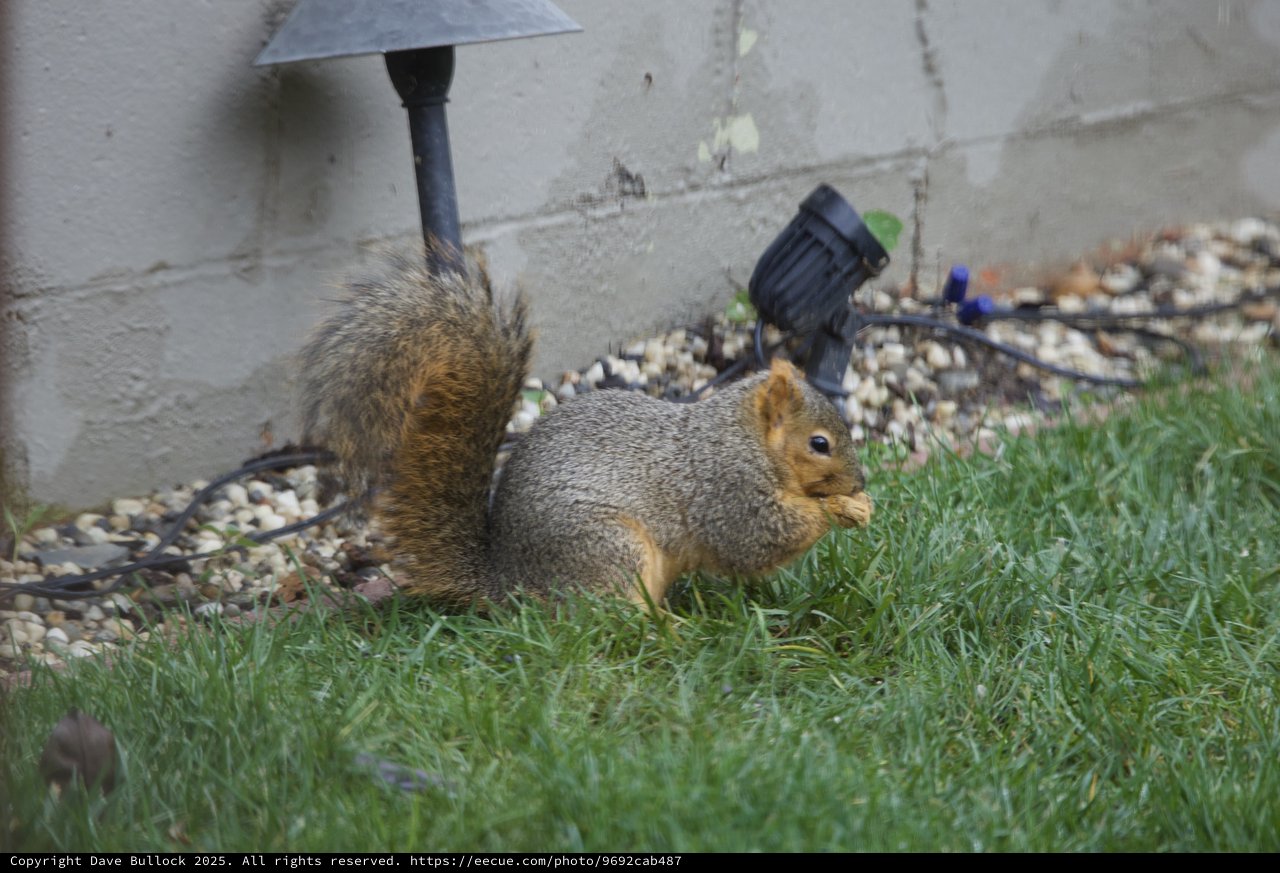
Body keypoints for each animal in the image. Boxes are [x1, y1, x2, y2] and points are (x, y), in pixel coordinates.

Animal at [300, 251, 873, 607]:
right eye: (819, 444)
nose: (861, 482)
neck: (745, 439)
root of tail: (509, 582)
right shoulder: (726, 490)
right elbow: (757, 540)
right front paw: (835, 509)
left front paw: (857, 505)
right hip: (608, 549)